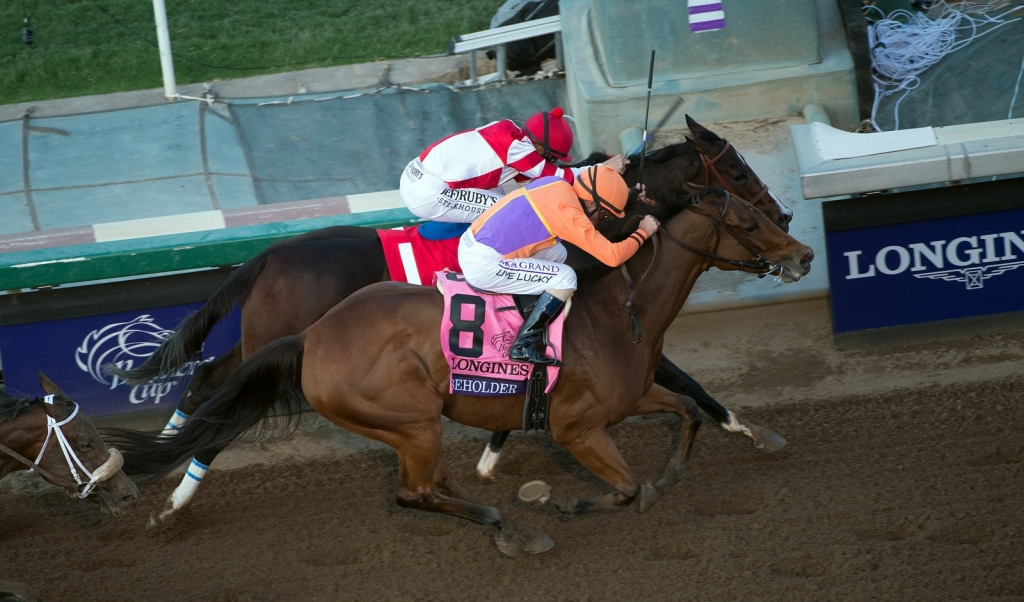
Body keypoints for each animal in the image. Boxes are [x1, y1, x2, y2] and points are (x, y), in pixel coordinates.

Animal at [108, 116, 790, 522]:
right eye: (736, 172)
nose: (784, 216)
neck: (601, 216)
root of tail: (270, 253)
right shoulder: (579, 295)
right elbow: (681, 378)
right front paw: (752, 430)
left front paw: (494, 451)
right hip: (277, 337)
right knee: (224, 405)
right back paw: (174, 491)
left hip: (261, 337)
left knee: (209, 381)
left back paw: (146, 474)